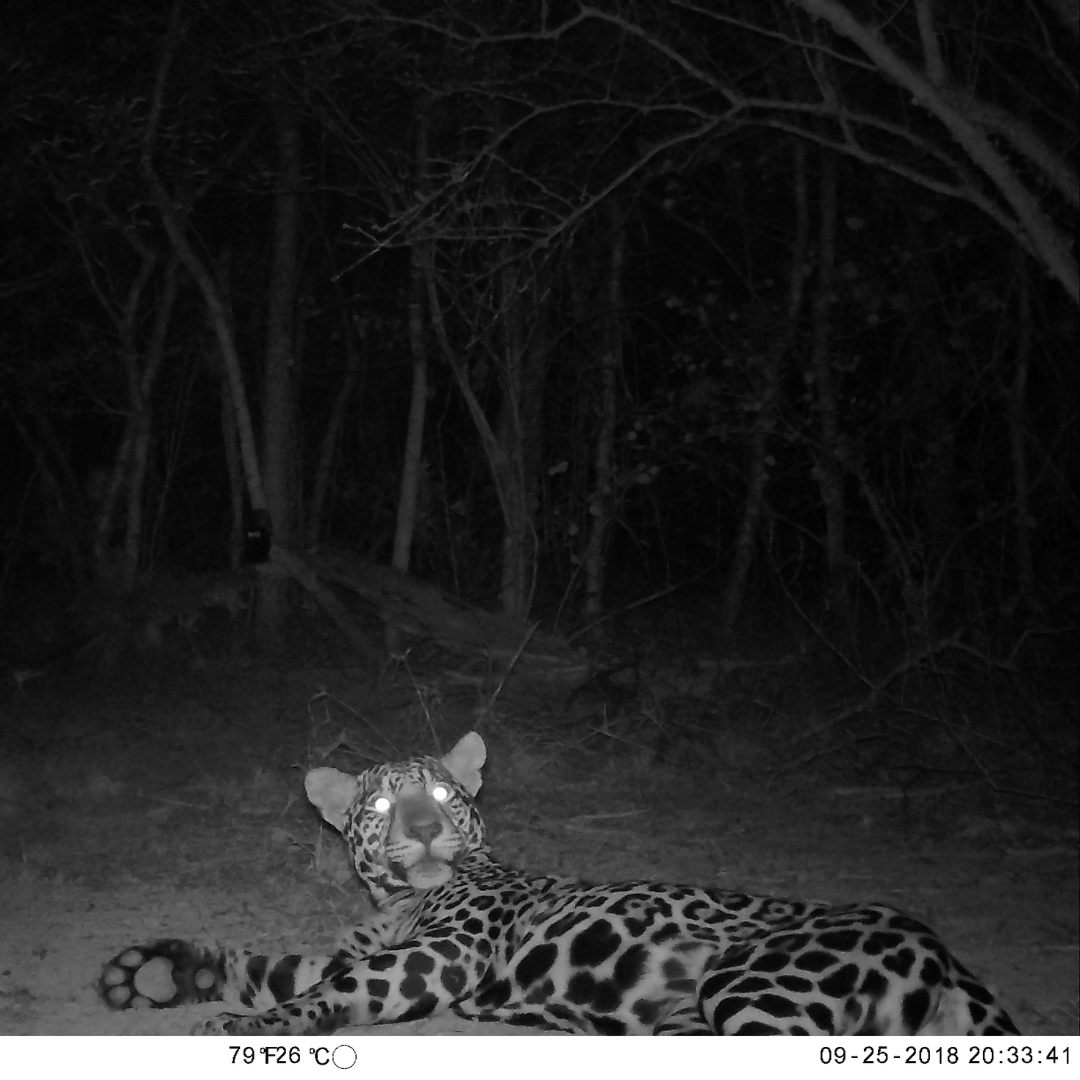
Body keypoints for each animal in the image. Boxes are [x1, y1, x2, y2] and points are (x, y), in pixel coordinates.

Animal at [99, 731, 1019, 1035]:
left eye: (445, 796)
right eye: (386, 803)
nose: (424, 829)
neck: (397, 904)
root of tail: (934, 939)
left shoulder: (438, 957)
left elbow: (322, 994)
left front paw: (241, 1025)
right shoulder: (364, 949)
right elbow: (273, 967)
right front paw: (161, 973)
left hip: (754, 988)